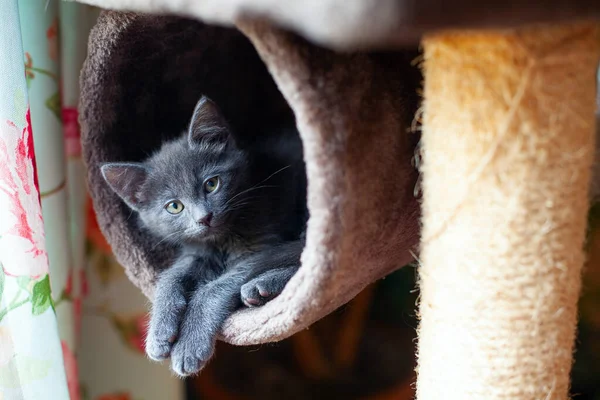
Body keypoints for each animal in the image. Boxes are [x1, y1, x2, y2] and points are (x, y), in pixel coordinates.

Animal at [101, 96, 308, 376]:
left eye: (211, 184)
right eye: (174, 206)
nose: (204, 218)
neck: (222, 239)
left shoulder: (262, 243)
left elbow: (218, 285)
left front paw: (190, 345)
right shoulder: (197, 250)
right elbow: (171, 275)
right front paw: (159, 330)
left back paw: (261, 285)